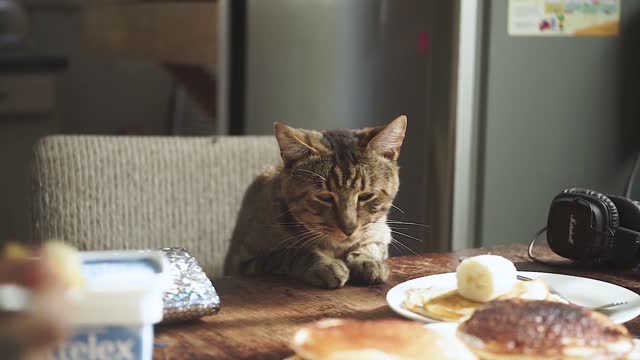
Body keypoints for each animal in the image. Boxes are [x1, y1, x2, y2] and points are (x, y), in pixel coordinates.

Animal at [222, 116, 408, 290]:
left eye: (366, 196)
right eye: (325, 197)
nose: (349, 229)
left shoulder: (381, 233)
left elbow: (370, 246)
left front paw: (368, 261)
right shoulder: (246, 262)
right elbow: (295, 252)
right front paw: (326, 264)